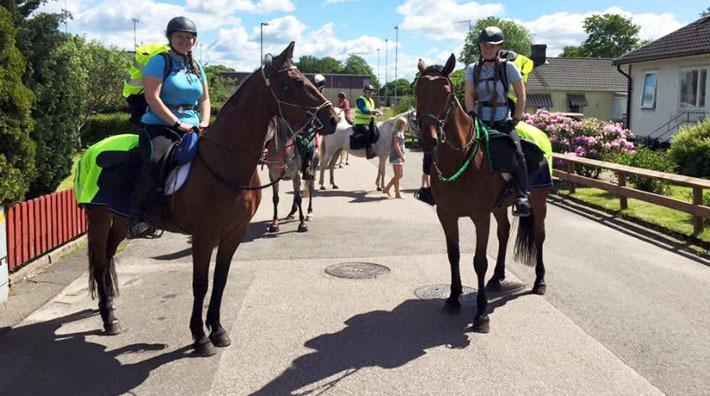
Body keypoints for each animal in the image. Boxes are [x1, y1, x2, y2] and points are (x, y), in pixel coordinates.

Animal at [83, 42, 340, 356]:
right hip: (98, 218)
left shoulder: (233, 233)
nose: (333, 119)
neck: (224, 161)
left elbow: (220, 281)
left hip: (119, 221)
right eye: (294, 83)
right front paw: (199, 336)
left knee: (107, 257)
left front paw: (216, 329)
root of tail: (93, 148)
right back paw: (108, 317)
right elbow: (201, 284)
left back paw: (109, 308)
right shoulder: (204, 236)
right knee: (100, 261)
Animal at [418, 56, 552, 334]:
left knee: (539, 236)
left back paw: (539, 282)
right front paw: (453, 298)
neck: (460, 157)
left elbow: (479, 261)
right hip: (500, 207)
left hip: (539, 202)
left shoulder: (480, 217)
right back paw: (497, 277)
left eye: (447, 93)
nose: (428, 139)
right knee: (504, 232)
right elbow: (453, 255)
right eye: (418, 91)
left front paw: (480, 315)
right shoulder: (446, 215)